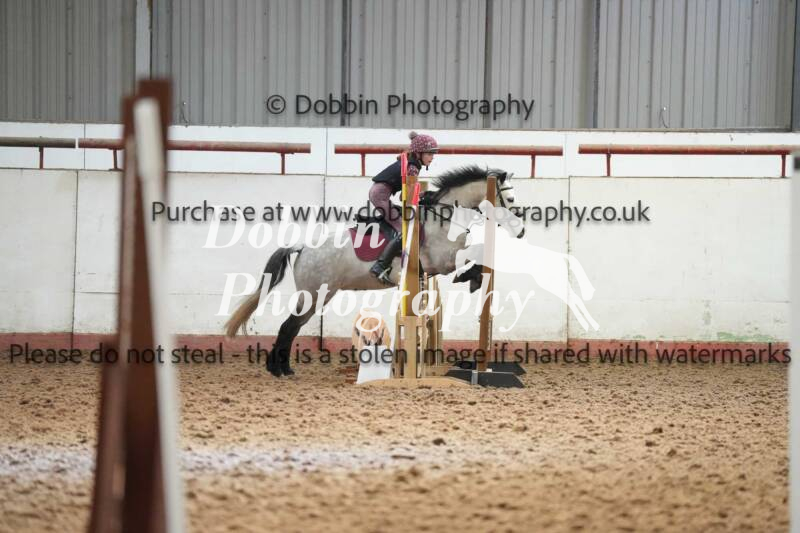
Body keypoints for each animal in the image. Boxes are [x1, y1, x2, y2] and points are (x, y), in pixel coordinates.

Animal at [224, 165, 522, 377]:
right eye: (509, 198)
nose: (521, 231)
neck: (445, 217)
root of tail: (303, 248)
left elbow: (474, 255)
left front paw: (474, 278)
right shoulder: (441, 261)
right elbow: (471, 258)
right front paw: (471, 278)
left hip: (318, 295)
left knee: (293, 327)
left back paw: (281, 368)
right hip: (314, 294)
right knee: (289, 326)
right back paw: (279, 370)